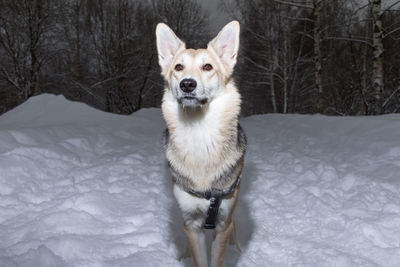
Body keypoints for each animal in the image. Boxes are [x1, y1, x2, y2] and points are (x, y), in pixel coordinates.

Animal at [155, 21, 244, 267]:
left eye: (207, 67)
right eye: (178, 67)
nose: (187, 84)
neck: (199, 134)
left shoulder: (222, 224)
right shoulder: (192, 224)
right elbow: (198, 259)